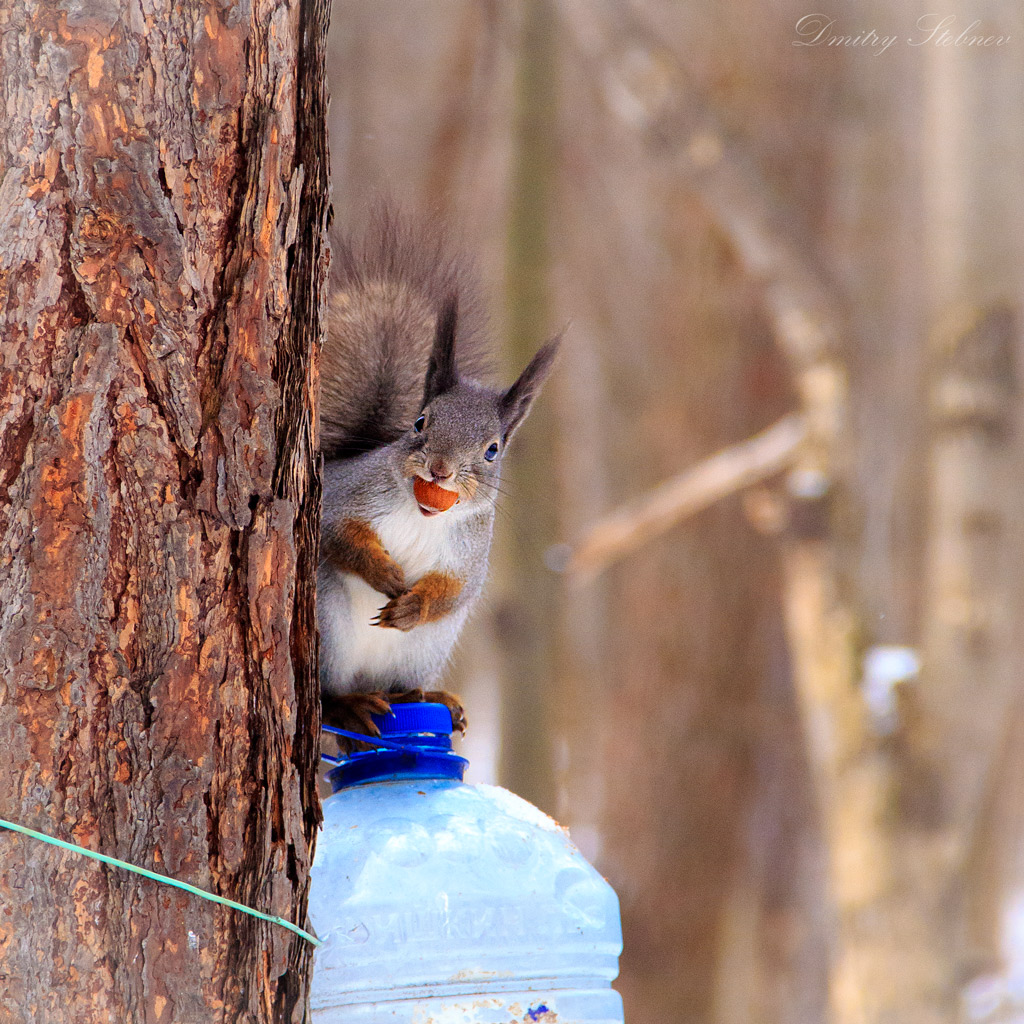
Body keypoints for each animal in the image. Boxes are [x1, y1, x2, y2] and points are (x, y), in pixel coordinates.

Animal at [317, 207, 561, 745]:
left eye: (492, 450)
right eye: (420, 422)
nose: (441, 469)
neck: (424, 512)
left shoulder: (470, 555)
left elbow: (455, 590)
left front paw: (411, 605)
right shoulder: (342, 497)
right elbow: (336, 536)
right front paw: (383, 572)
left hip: (425, 649)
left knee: (402, 686)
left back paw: (427, 696)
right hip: (326, 624)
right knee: (327, 697)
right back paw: (349, 706)